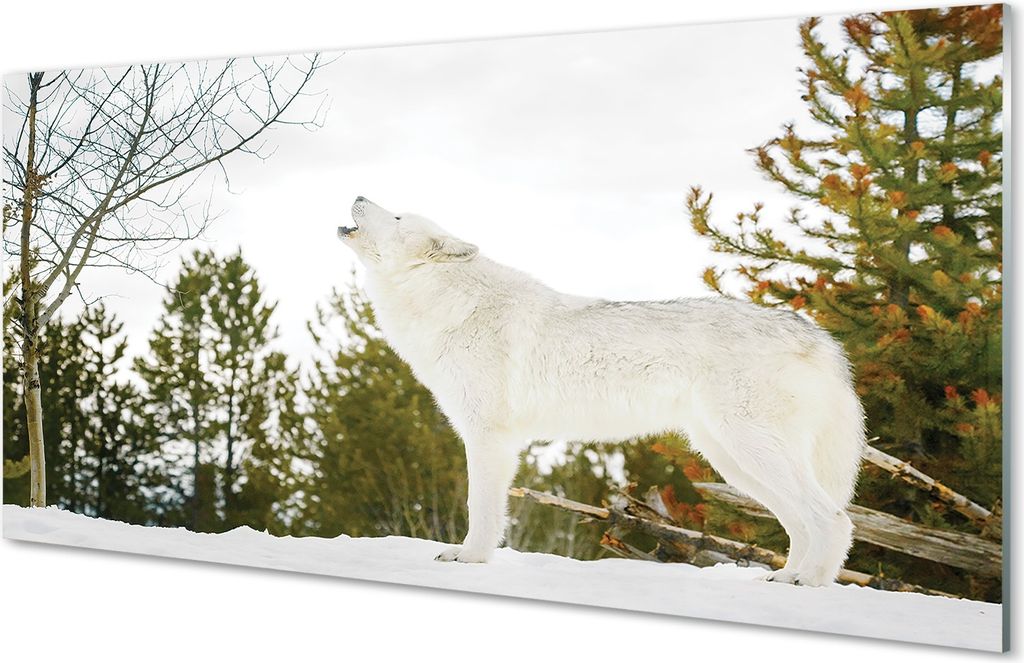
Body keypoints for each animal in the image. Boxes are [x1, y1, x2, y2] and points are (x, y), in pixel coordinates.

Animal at [337, 196, 865, 586]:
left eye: (398, 216)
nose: (359, 194)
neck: (448, 302)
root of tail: (820, 337)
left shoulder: (488, 437)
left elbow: (479, 508)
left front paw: (470, 560)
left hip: (752, 452)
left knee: (835, 519)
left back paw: (807, 583)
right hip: (735, 463)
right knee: (801, 524)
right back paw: (785, 579)